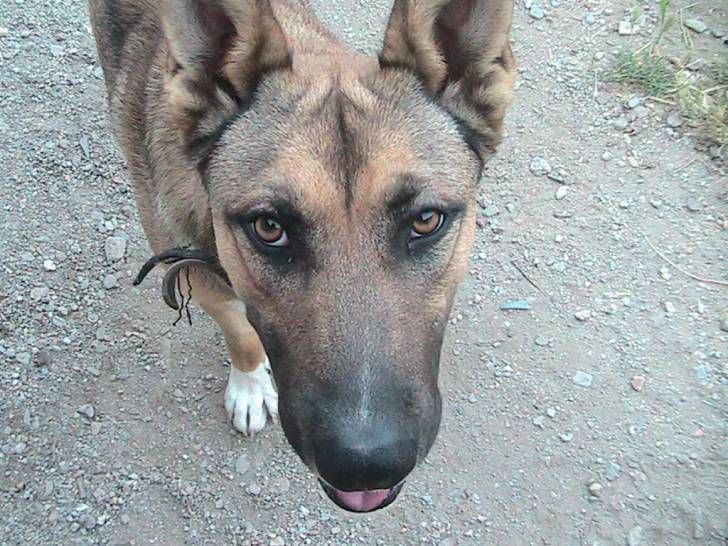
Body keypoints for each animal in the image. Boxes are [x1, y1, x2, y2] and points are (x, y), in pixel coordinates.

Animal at [89, 0, 515, 513]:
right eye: (269, 228)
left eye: (426, 220)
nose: (366, 466)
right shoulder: (199, 275)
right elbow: (239, 331)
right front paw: (250, 386)